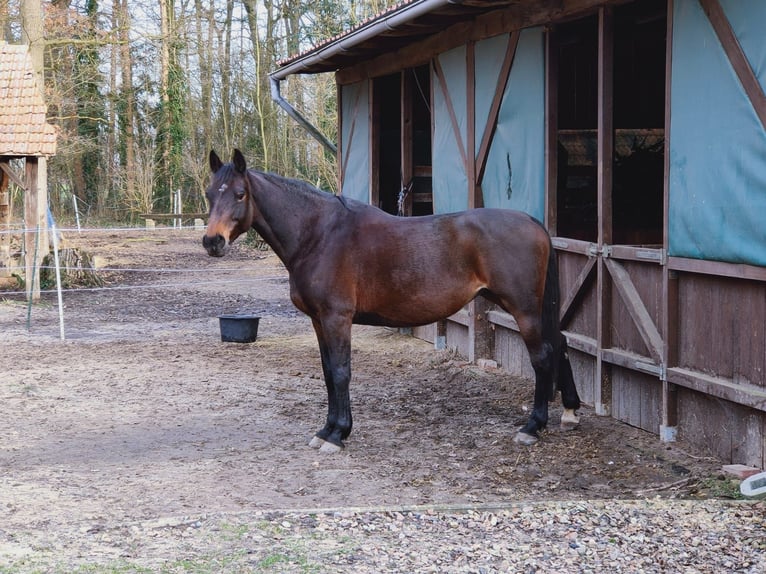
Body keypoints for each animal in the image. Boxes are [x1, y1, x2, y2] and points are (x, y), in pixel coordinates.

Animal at [204, 150, 584, 454]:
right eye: (209, 194)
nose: (212, 242)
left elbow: (340, 372)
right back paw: (569, 411)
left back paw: (532, 426)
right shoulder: (318, 320)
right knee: (560, 344)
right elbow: (327, 373)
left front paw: (338, 435)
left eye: (240, 194)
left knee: (543, 355)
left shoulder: (336, 318)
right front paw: (326, 430)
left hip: (525, 309)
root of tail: (533, 222)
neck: (319, 235)